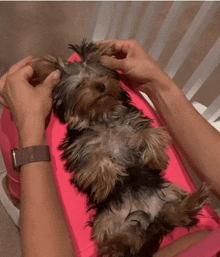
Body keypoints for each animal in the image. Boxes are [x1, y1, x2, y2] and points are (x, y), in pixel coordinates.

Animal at [31, 38, 210, 256]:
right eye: (80, 84)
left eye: (102, 75)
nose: (101, 85)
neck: (104, 117)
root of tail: (150, 219)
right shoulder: (79, 146)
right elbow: (95, 157)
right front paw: (105, 183)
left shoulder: (135, 121)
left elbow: (148, 133)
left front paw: (157, 158)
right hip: (106, 220)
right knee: (130, 239)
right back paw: (113, 245)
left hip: (169, 191)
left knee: (171, 216)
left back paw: (193, 200)